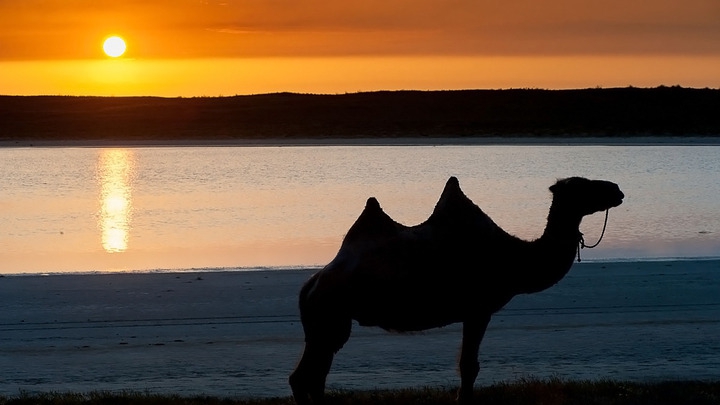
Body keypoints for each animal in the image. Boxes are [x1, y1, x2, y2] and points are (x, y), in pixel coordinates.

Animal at [290, 175, 620, 402]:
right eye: (584, 186)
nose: (617, 189)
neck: (514, 258)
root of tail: (310, 285)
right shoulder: (479, 309)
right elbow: (468, 366)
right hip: (330, 314)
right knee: (305, 376)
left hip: (329, 322)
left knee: (315, 374)